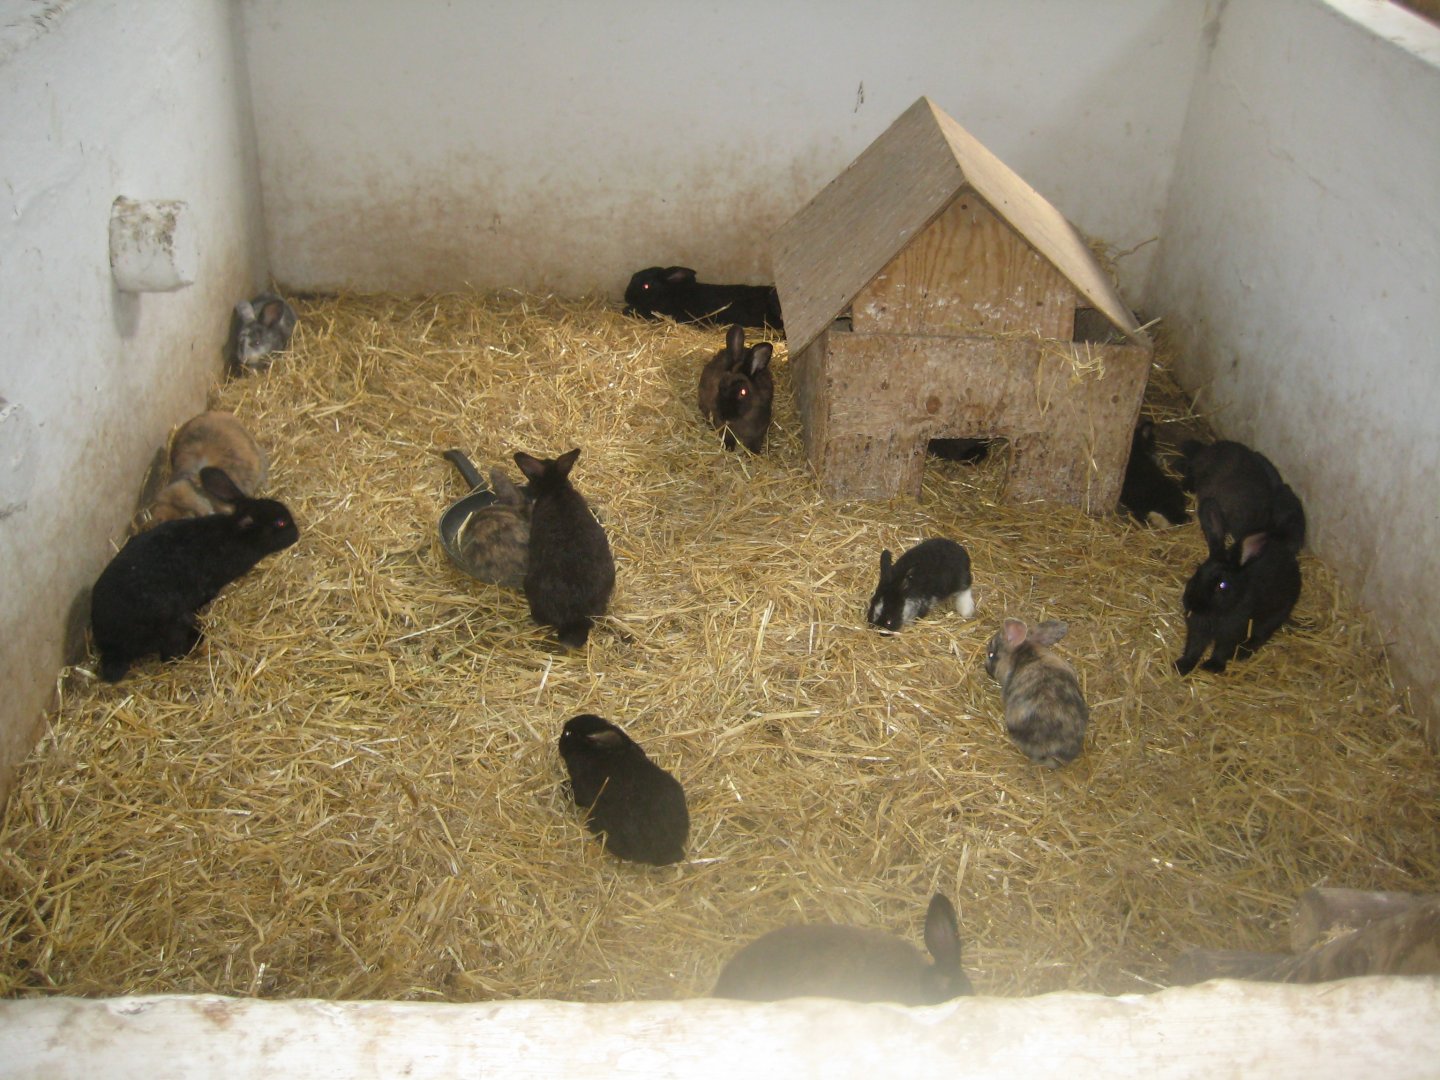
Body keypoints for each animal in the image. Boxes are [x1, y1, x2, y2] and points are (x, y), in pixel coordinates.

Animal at [91, 467, 299, 683]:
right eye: (281, 523)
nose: (296, 534)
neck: (236, 536)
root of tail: (112, 648)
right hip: (172, 626)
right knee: (170, 657)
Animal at [697, 324, 775, 453]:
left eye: (743, 392)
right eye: (720, 385)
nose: (724, 415)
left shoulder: (759, 432)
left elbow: (755, 443)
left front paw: (753, 453)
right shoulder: (723, 427)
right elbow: (727, 436)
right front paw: (728, 448)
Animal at [1175, 498, 1302, 676]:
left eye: (1222, 585)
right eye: (1198, 571)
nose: (1192, 603)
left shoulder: (1233, 632)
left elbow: (1221, 650)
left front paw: (1212, 667)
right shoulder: (1197, 629)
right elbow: (1193, 648)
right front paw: (1182, 666)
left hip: (1275, 616)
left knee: (1261, 636)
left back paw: (1243, 653)